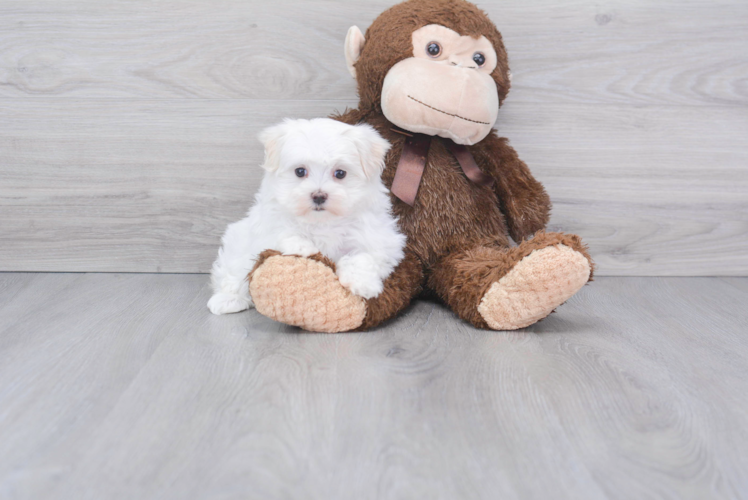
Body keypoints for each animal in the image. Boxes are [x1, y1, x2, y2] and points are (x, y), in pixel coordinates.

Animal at [207, 117, 406, 314]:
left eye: (340, 173)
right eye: (300, 171)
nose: (318, 196)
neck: (322, 221)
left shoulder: (380, 239)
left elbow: (364, 256)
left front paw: (362, 283)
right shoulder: (265, 226)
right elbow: (281, 232)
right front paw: (302, 246)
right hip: (238, 242)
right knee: (233, 271)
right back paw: (228, 299)